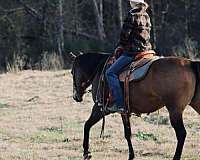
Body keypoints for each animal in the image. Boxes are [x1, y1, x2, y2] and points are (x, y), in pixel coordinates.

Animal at [70, 52, 200, 159]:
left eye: (72, 72)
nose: (76, 96)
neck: (100, 69)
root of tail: (190, 63)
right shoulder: (124, 111)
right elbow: (128, 133)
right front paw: (131, 155)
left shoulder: (99, 108)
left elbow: (87, 125)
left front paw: (86, 152)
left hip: (174, 111)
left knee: (181, 134)